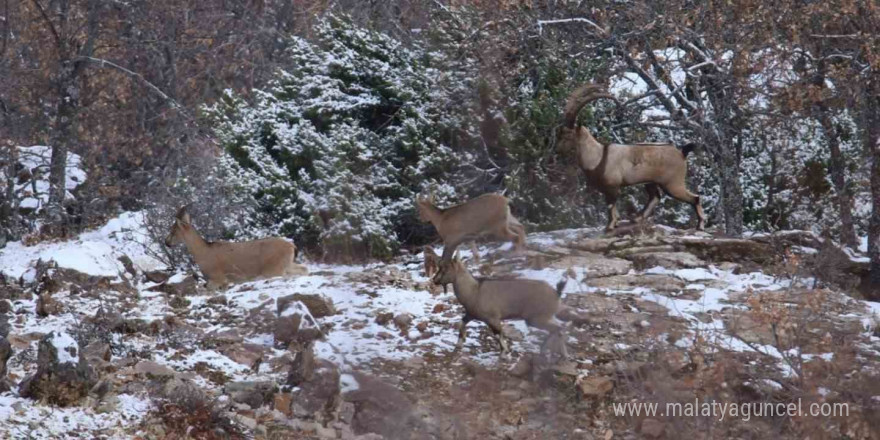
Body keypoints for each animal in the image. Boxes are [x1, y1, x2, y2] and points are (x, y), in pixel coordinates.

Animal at [167, 206, 308, 288]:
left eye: (173, 230)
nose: (166, 242)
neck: (203, 252)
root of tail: (292, 246)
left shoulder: (218, 278)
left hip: (274, 269)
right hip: (288, 264)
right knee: (304, 269)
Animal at [556, 84, 708, 232]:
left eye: (568, 136)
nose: (558, 150)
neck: (598, 157)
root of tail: (682, 152)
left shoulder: (613, 187)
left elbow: (610, 206)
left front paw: (610, 226)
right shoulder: (608, 189)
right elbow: (612, 207)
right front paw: (616, 223)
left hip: (673, 183)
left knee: (694, 198)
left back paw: (700, 226)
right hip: (651, 181)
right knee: (655, 197)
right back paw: (637, 218)